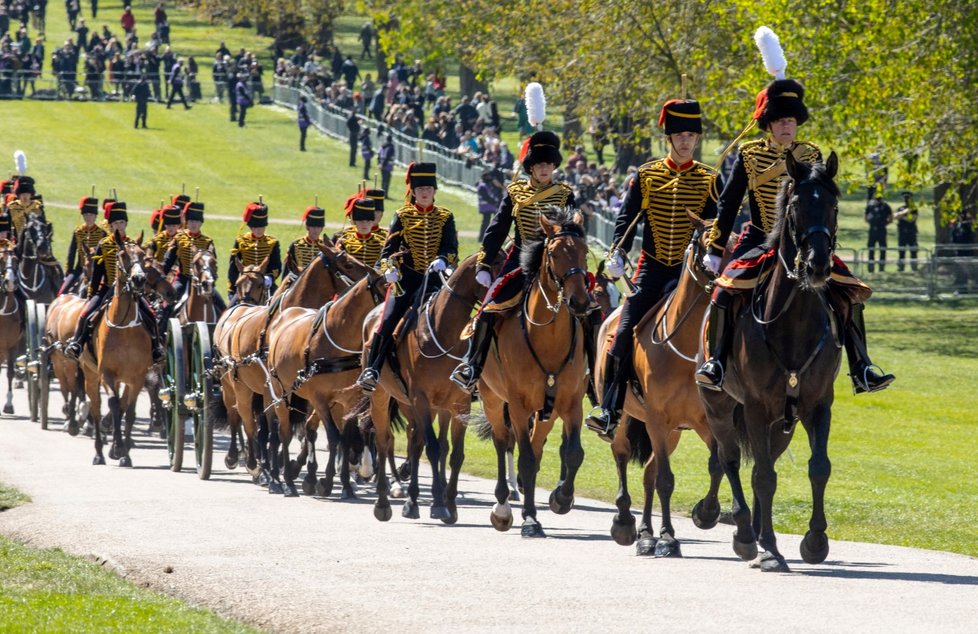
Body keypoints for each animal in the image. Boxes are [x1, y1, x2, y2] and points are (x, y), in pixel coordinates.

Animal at [266, 266, 388, 494]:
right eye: (385, 287)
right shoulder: (319, 398)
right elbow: (333, 436)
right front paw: (328, 481)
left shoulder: (349, 400)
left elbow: (345, 439)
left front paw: (345, 484)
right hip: (280, 392)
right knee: (283, 432)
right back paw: (283, 479)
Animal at [358, 252, 488, 524]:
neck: (444, 333)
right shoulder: (422, 399)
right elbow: (434, 448)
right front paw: (438, 504)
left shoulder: (457, 403)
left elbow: (455, 453)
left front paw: (450, 505)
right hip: (384, 396)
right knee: (384, 441)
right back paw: (383, 502)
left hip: (409, 403)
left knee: (413, 440)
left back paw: (412, 500)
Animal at [478, 206, 592, 532]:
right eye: (553, 253)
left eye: (584, 251)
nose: (580, 302)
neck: (547, 337)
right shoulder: (518, 405)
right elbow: (525, 458)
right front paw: (529, 518)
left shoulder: (571, 402)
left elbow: (573, 453)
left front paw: (562, 498)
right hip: (492, 398)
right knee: (503, 441)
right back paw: (503, 506)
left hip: (547, 412)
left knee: (536, 445)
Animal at [600, 215, 728, 556]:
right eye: (707, 245)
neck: (684, 348)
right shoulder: (657, 419)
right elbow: (667, 480)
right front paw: (669, 538)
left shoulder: (703, 422)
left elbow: (717, 465)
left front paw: (706, 513)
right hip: (630, 419)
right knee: (622, 455)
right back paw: (625, 523)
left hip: (672, 433)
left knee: (649, 473)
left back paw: (646, 533)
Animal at [696, 151, 844, 572]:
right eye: (795, 205)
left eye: (833, 205)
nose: (817, 266)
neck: (793, 323)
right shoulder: (756, 408)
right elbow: (759, 475)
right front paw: (769, 549)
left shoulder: (817, 405)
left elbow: (818, 468)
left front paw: (815, 540)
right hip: (720, 406)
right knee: (729, 460)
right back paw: (747, 534)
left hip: (782, 424)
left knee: (767, 466)